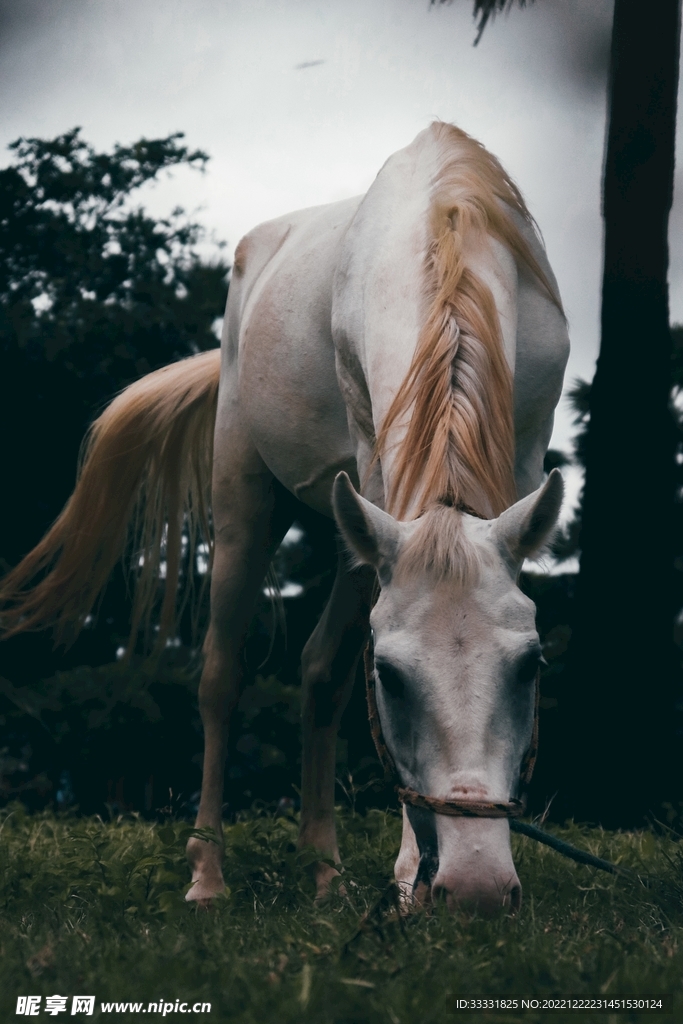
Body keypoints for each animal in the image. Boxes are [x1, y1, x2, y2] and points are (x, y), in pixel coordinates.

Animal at [0, 122, 569, 915]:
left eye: (530, 665)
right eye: (390, 676)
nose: (475, 889)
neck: (448, 226)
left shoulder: (517, 464)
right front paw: (406, 877)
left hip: (348, 531)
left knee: (320, 672)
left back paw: (323, 873)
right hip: (246, 499)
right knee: (221, 674)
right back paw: (207, 876)